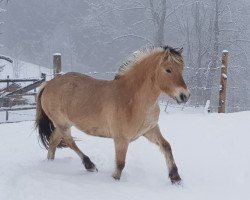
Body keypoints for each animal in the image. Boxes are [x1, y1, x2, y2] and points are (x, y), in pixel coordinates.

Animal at [35, 45, 190, 184]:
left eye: (181, 69)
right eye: (168, 70)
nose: (184, 96)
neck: (133, 99)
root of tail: (48, 84)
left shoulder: (150, 130)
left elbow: (166, 146)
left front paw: (175, 177)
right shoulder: (121, 139)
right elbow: (120, 163)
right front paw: (114, 180)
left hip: (61, 124)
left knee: (53, 141)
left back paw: (51, 163)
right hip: (62, 123)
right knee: (69, 142)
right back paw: (89, 165)